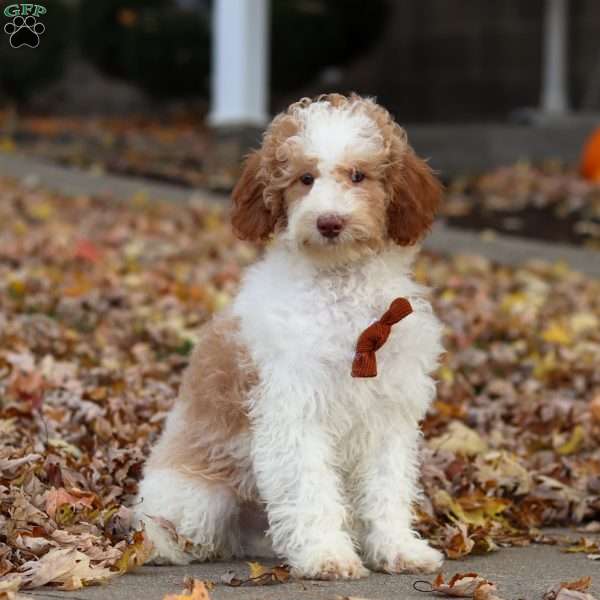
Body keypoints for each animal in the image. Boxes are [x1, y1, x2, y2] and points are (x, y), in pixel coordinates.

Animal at [136, 95, 446, 580]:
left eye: (358, 175)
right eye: (305, 178)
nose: (329, 222)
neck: (340, 292)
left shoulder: (386, 415)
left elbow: (387, 487)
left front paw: (398, 549)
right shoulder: (295, 409)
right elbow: (310, 489)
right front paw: (326, 556)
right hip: (200, 498)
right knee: (172, 532)